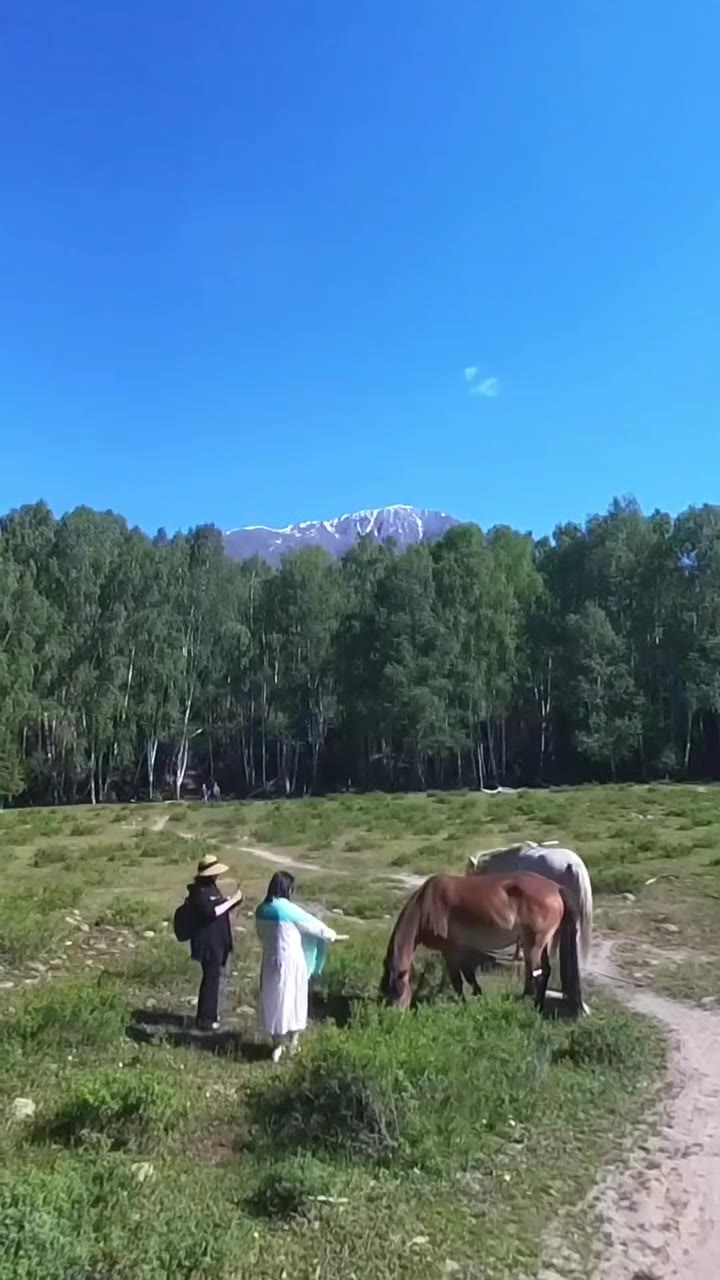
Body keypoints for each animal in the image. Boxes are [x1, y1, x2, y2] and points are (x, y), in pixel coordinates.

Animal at [380, 872, 584, 1016]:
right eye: (384, 993)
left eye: (397, 992)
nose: (392, 1018)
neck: (427, 906)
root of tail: (556, 888)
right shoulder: (460, 949)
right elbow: (468, 975)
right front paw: (478, 996)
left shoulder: (450, 950)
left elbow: (457, 980)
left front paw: (463, 1003)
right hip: (544, 944)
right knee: (546, 971)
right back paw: (537, 1005)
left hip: (533, 944)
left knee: (535, 975)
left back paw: (527, 1004)